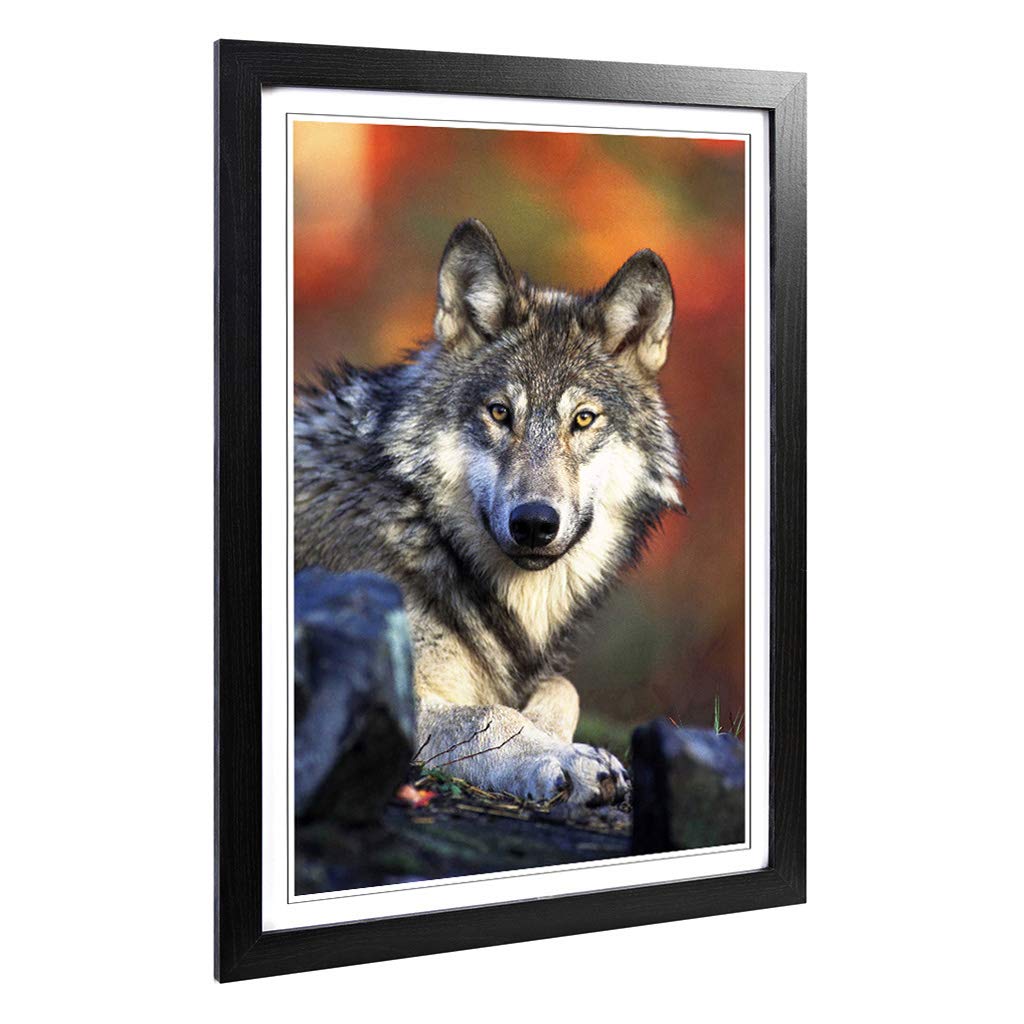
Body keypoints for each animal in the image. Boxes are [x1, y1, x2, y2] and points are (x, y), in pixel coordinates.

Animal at [294, 219, 683, 806]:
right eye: (500, 413)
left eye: (583, 419)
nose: (534, 523)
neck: (422, 526)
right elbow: (492, 715)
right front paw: (565, 758)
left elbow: (562, 687)